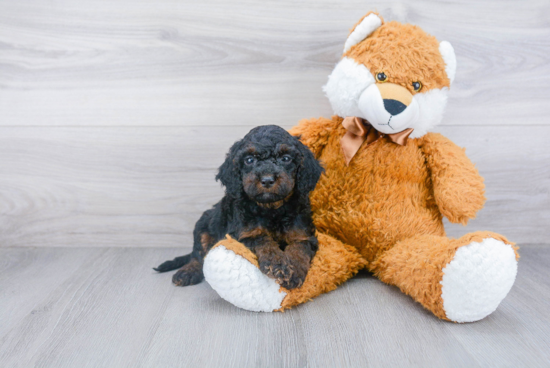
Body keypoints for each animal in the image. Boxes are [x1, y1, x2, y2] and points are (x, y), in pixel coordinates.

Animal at [155, 125, 326, 288]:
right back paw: (188, 272)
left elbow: (299, 248)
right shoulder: (243, 235)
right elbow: (262, 240)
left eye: (286, 158)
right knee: (197, 253)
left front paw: (294, 271)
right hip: (204, 223)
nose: (267, 180)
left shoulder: (304, 234)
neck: (271, 209)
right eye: (249, 160)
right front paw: (277, 264)